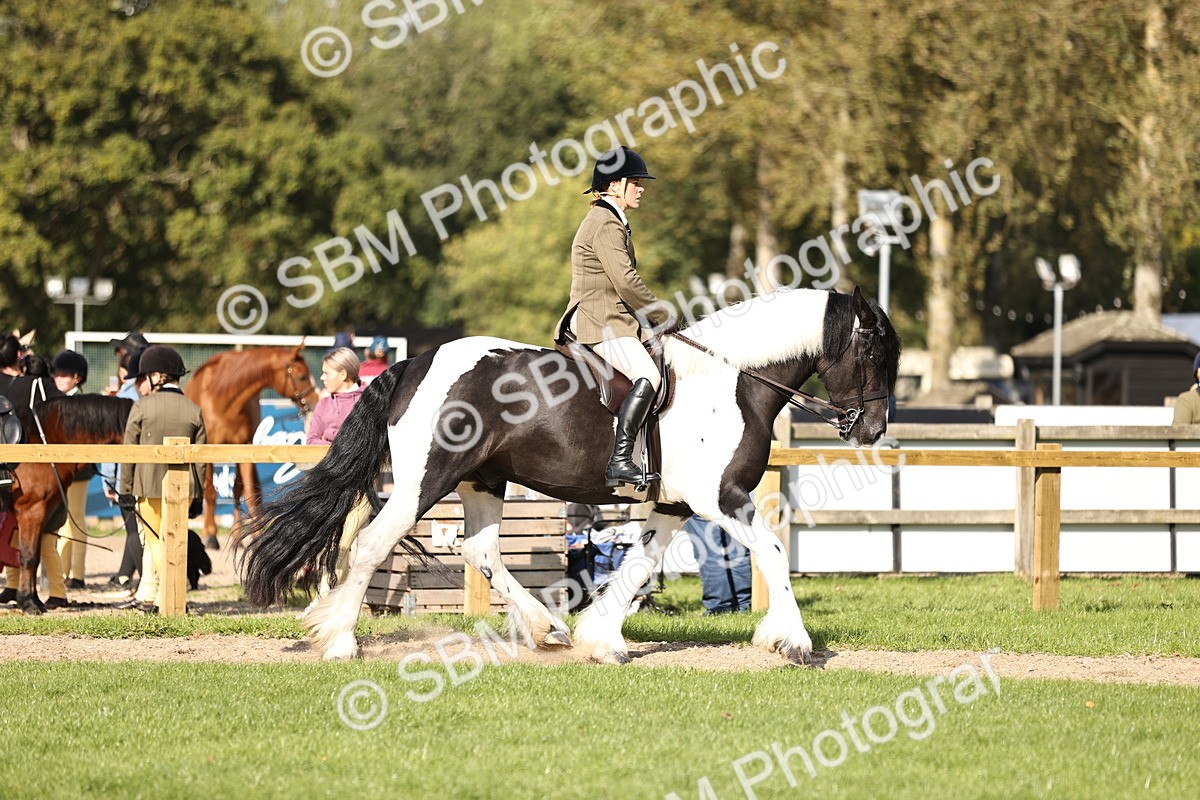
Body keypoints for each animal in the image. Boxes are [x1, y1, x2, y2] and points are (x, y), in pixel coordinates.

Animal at [3, 395, 132, 614]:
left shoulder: (42, 512)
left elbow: (36, 555)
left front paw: (34, 600)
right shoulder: (31, 510)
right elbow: (28, 556)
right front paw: (28, 602)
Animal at [184, 344, 316, 547]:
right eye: (302, 377)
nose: (315, 401)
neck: (224, 397)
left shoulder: (245, 448)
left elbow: (249, 493)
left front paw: (257, 533)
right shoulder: (207, 450)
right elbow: (210, 493)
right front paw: (210, 535)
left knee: (238, 491)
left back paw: (237, 534)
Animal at [238, 286, 900, 663]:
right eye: (873, 351)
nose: (871, 430)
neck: (732, 381)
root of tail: (414, 365)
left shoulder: (674, 506)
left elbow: (637, 566)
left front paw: (600, 639)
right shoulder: (721, 498)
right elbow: (773, 552)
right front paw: (793, 641)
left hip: (483, 480)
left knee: (481, 551)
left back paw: (546, 626)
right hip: (425, 481)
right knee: (374, 543)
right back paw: (341, 642)